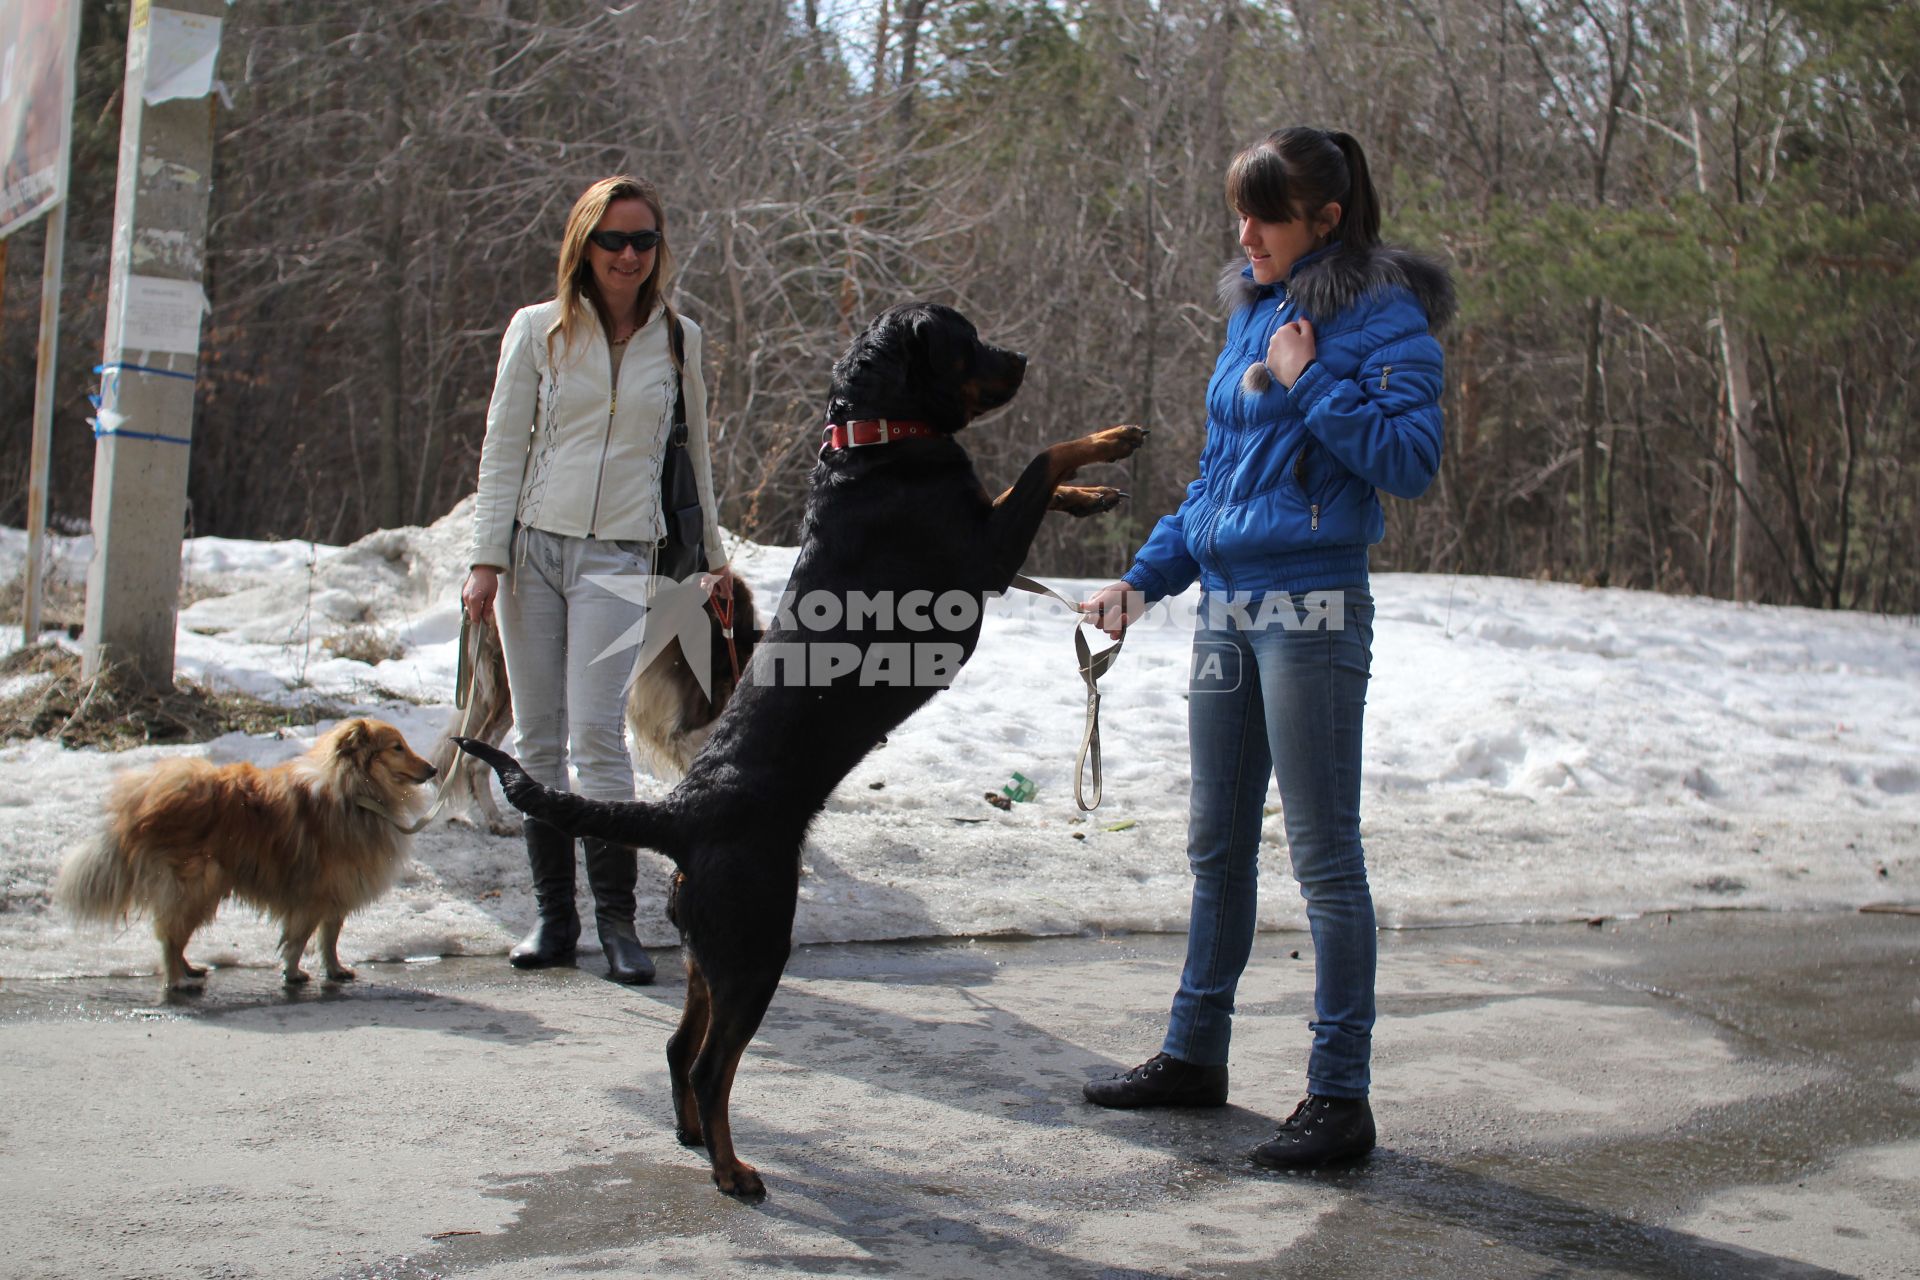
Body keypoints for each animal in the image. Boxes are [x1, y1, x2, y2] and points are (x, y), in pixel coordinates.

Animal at [58, 721, 439, 990]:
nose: (434, 769)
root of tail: (141, 805)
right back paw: (177, 980)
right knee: (169, 936)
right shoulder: (314, 894)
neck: (355, 792)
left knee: (175, 935)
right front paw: (293, 973)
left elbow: (329, 938)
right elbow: (300, 939)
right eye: (397, 747)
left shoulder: (337, 893)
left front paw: (334, 970)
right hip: (196, 885)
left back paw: (190, 970)